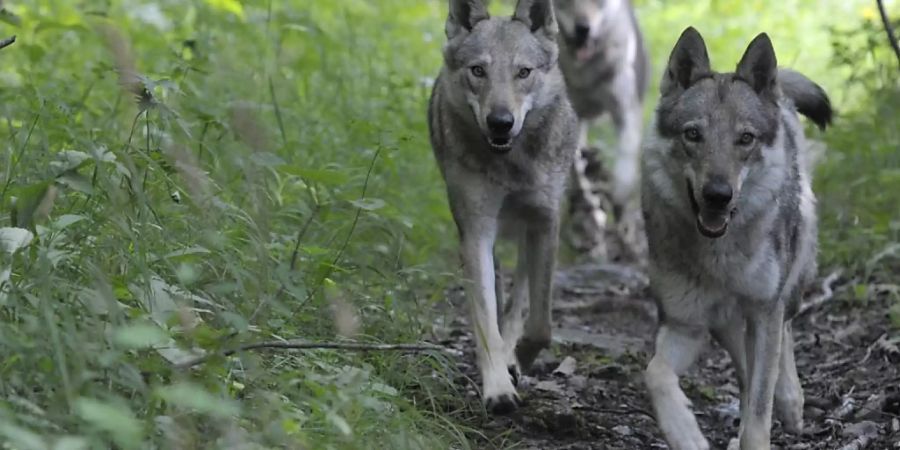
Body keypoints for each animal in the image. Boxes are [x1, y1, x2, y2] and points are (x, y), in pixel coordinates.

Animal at [428, 0, 576, 414]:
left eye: (523, 72)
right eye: (478, 71)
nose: (500, 122)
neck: (512, 165)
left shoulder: (545, 221)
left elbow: (540, 324)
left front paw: (520, 357)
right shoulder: (476, 229)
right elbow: (485, 321)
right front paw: (497, 389)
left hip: (530, 232)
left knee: (519, 300)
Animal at [644, 26, 832, 448]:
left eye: (745, 139)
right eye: (693, 134)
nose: (718, 194)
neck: (719, 255)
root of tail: (780, 100)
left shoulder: (763, 312)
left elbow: (760, 409)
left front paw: (764, 422)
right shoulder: (685, 323)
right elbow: (655, 374)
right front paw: (686, 434)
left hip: (787, 290)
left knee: (783, 338)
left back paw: (791, 402)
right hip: (725, 323)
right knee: (746, 373)